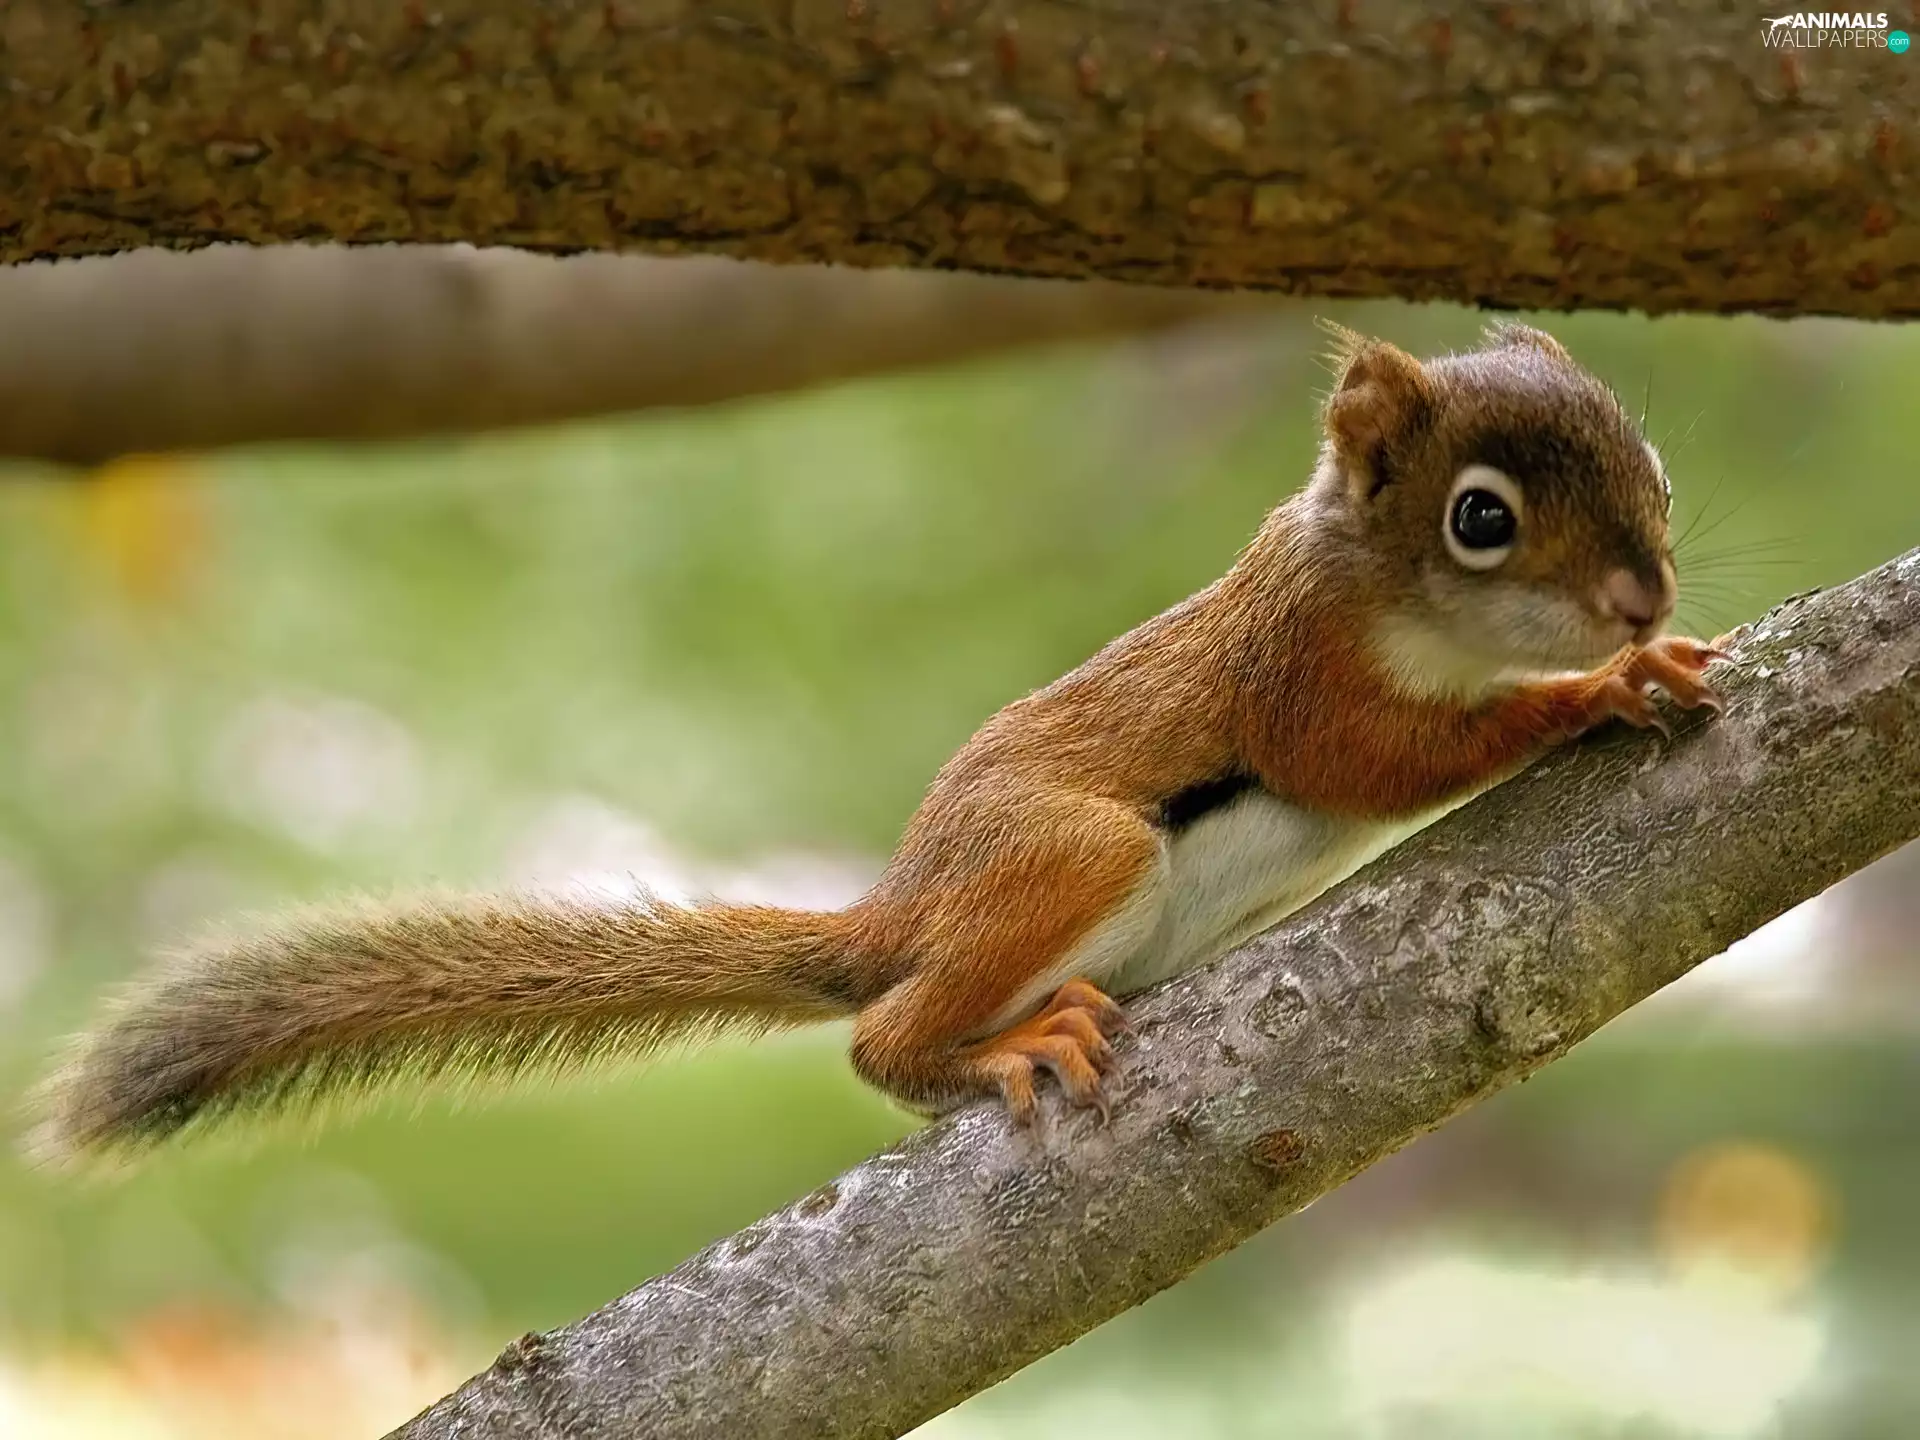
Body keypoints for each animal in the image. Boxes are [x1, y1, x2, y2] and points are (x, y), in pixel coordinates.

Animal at [30, 321, 1725, 1164]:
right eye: (1481, 520)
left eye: (1646, 452)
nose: (1644, 590)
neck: (1375, 587)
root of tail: (898, 912)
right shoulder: (1296, 680)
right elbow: (1378, 764)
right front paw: (1592, 690)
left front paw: (1647, 656)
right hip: (1071, 853)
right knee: (879, 1040)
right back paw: (985, 1045)